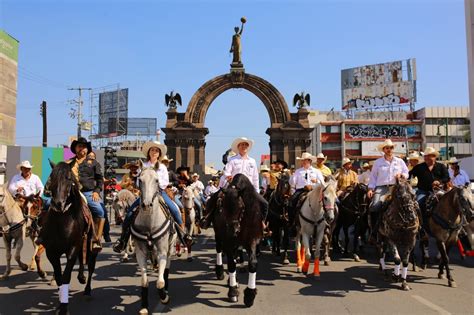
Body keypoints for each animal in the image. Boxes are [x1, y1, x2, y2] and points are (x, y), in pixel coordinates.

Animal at [40, 162, 99, 314]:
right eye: (52, 176)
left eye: (68, 178)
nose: (58, 203)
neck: (61, 221)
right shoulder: (52, 252)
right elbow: (59, 278)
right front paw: (60, 304)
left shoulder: (72, 248)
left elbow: (66, 277)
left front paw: (64, 308)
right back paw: (81, 277)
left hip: (91, 245)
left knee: (91, 265)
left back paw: (87, 290)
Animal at [131, 162, 176, 314]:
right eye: (140, 180)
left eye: (157, 180)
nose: (146, 204)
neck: (149, 222)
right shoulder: (140, 252)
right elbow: (144, 281)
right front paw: (144, 306)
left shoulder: (162, 250)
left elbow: (160, 282)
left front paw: (164, 297)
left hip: (170, 247)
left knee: (166, 268)